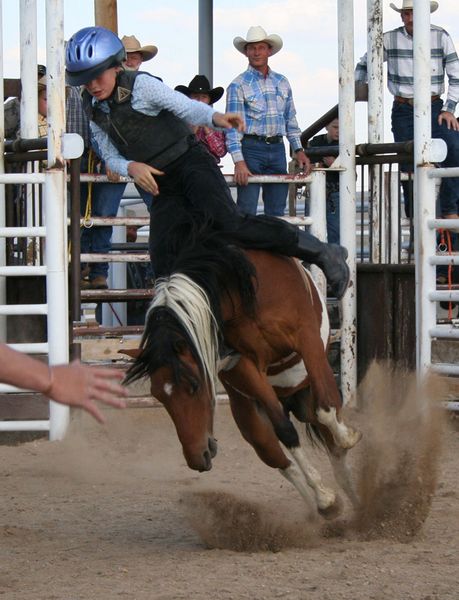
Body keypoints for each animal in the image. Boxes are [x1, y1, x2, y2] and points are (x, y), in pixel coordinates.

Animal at [126, 232, 362, 516]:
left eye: (194, 385)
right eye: (158, 395)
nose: (197, 458)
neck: (239, 295)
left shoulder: (307, 339)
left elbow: (326, 410)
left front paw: (349, 436)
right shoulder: (246, 366)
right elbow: (285, 431)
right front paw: (325, 497)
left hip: (305, 394)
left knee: (333, 448)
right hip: (251, 421)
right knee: (281, 459)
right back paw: (324, 505)